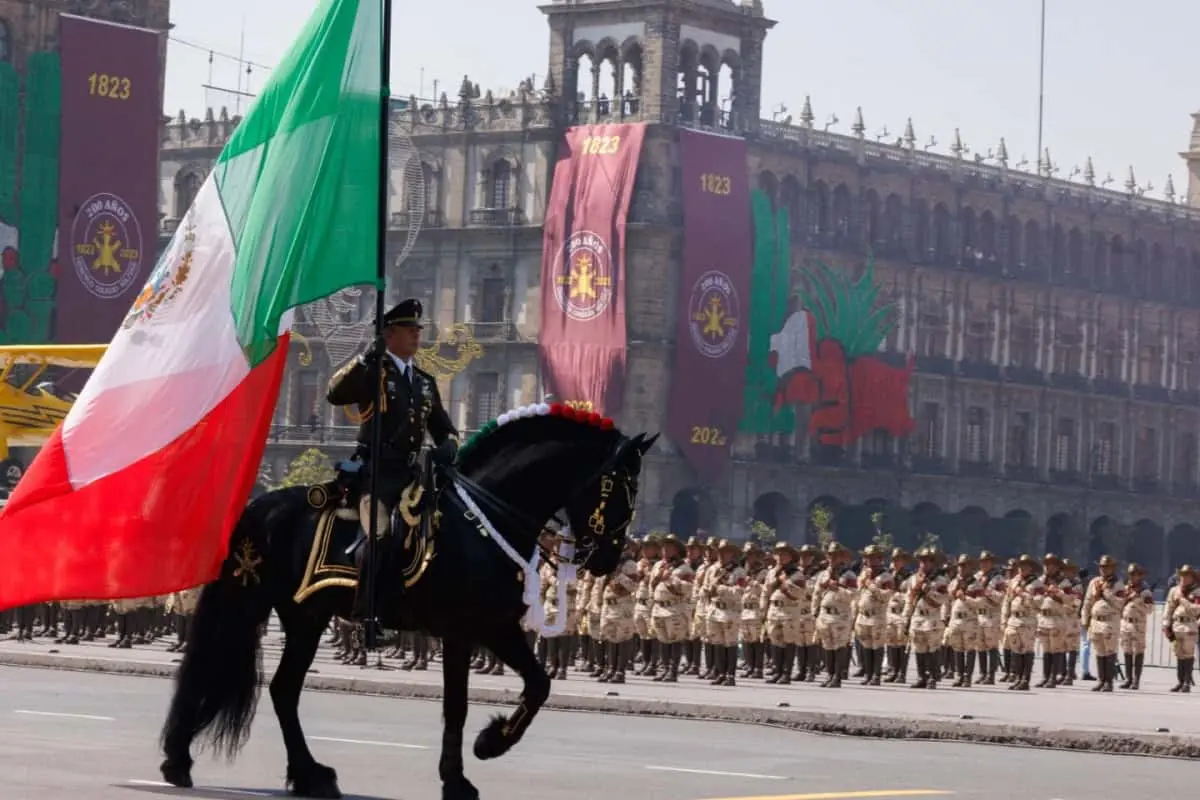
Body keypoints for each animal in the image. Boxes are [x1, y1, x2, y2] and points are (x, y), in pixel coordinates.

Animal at [158, 407, 657, 800]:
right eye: (618, 487)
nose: (607, 558)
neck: (485, 521)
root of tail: (257, 505)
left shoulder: (496, 626)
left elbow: (540, 684)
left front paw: (491, 742)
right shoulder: (462, 630)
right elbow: (457, 705)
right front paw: (458, 778)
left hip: (306, 617)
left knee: (282, 689)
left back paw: (307, 775)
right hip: (251, 602)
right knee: (216, 668)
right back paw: (181, 760)